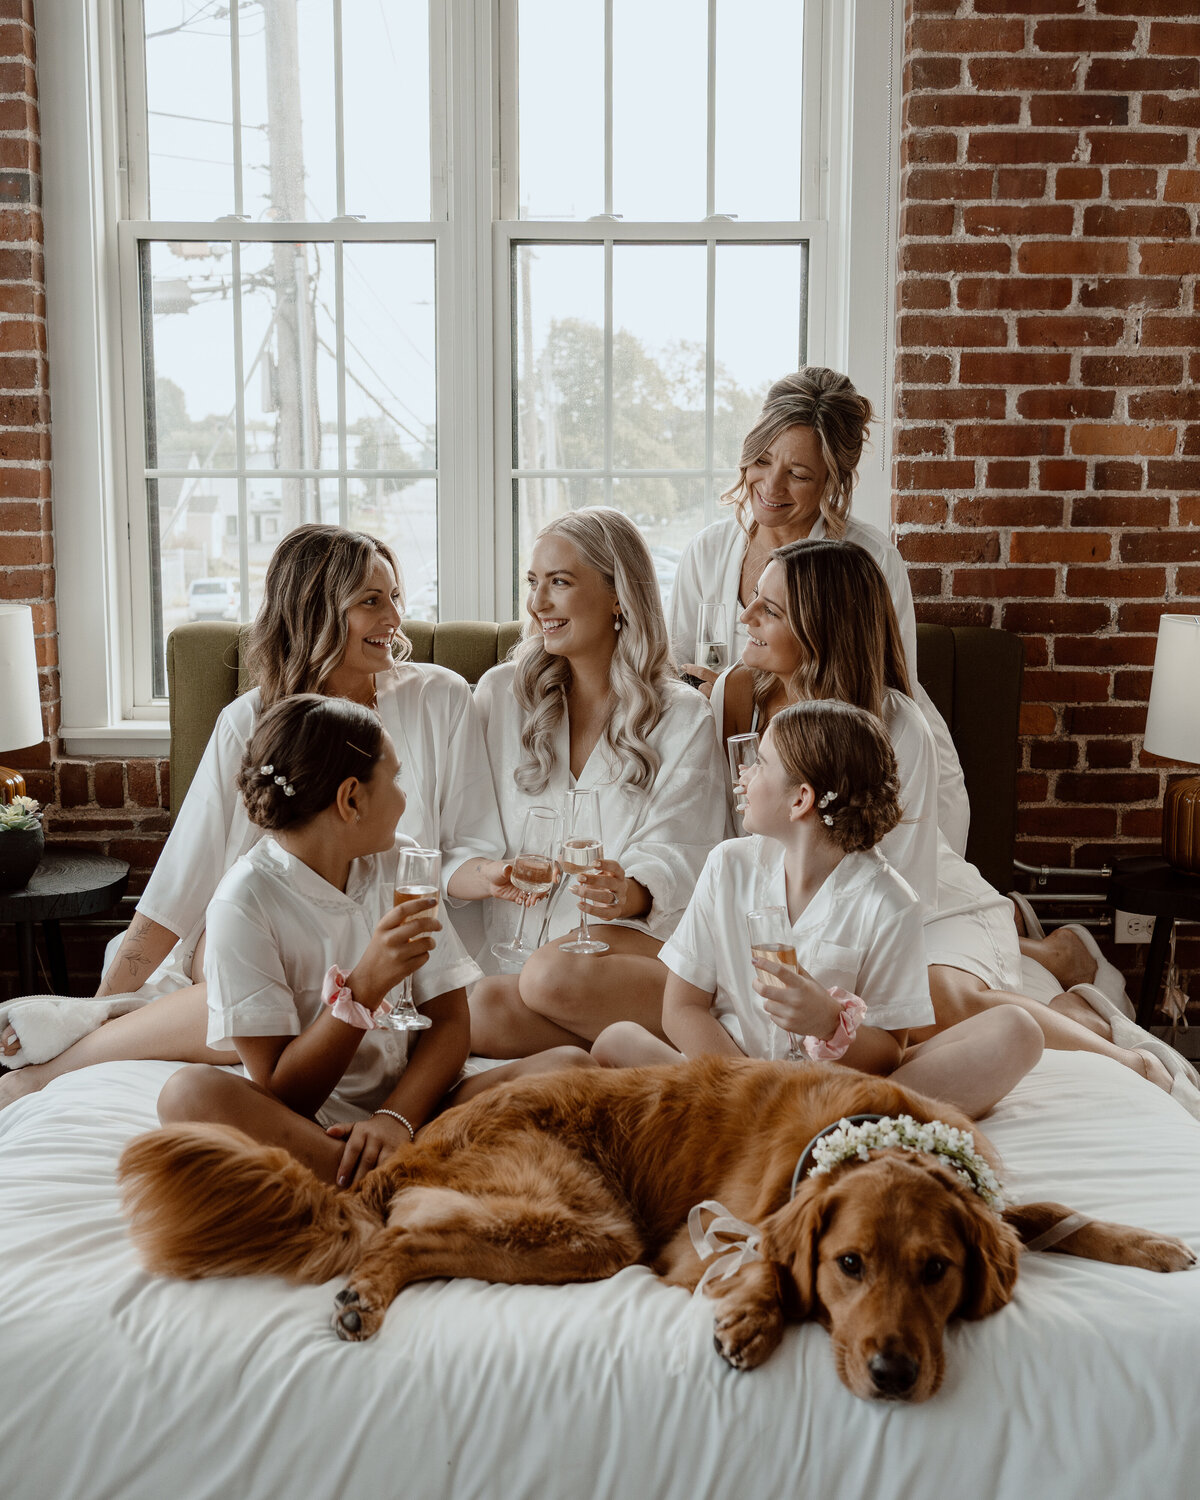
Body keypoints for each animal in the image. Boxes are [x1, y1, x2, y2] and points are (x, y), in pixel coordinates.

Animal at [117, 1062, 1194, 1398]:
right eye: (848, 1265)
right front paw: (753, 1317)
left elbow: (1049, 1215)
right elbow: (762, 1263)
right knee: (404, 1244)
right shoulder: (698, 1244)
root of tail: (412, 1144)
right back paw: (362, 1299)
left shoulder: (988, 1197)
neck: (870, 1128)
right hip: (593, 1229)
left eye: (936, 1271)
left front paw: (1148, 1244)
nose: (893, 1375)